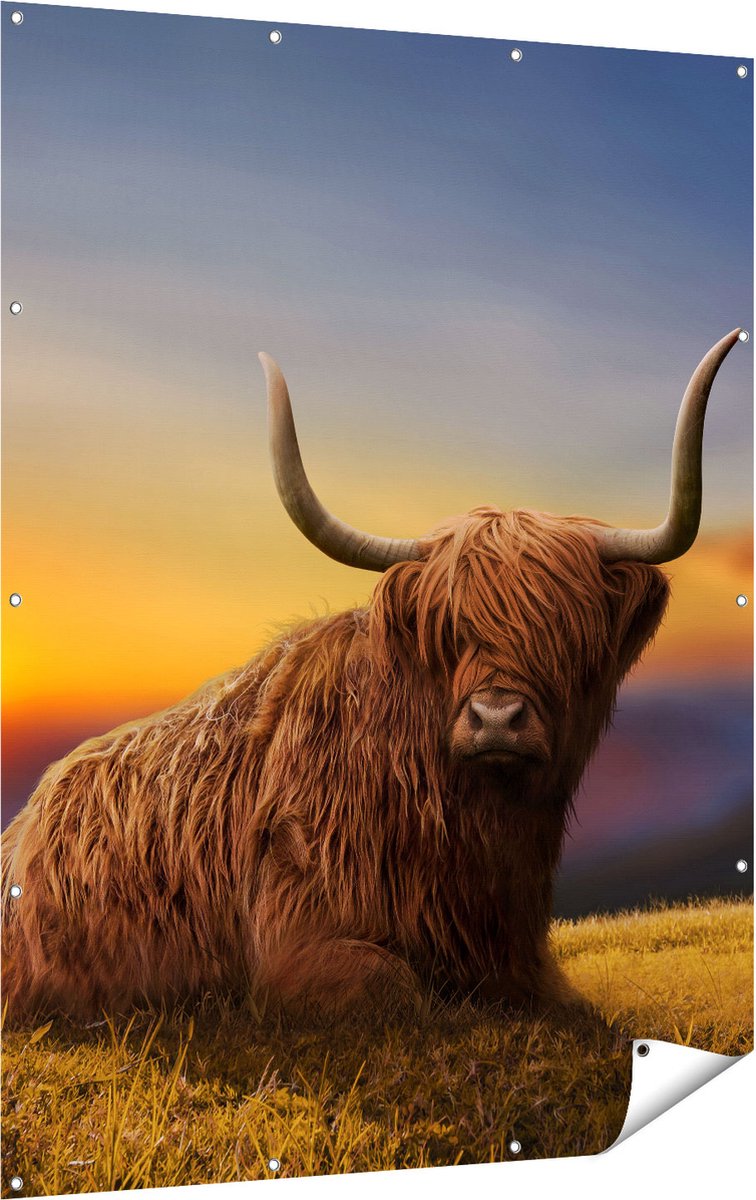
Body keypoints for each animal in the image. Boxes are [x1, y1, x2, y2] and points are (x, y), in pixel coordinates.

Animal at [1, 329, 742, 1021]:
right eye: (448, 631)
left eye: (563, 628)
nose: (497, 719)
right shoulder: (296, 945)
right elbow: (401, 990)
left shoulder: (522, 960)